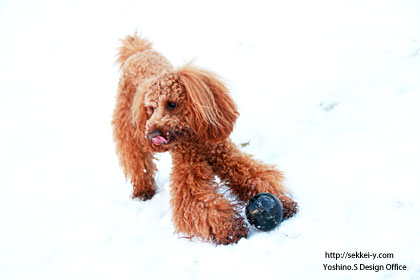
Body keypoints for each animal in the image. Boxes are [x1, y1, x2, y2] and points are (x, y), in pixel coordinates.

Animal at [111, 33, 296, 245]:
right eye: (151, 109)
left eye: (172, 104)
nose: (152, 134)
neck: (196, 142)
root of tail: (138, 52)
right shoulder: (188, 172)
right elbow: (201, 203)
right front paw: (229, 229)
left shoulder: (227, 155)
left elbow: (256, 174)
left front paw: (283, 203)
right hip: (127, 130)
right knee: (136, 161)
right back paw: (143, 191)